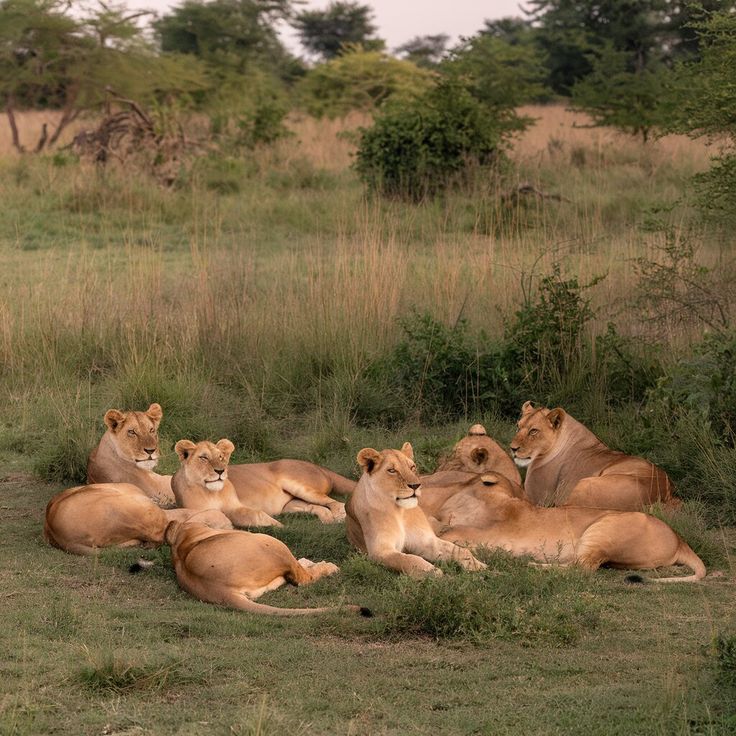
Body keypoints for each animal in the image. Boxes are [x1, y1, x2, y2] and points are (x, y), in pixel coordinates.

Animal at [345, 443, 486, 577]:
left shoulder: (425, 540)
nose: (415, 485)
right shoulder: (379, 551)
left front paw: (477, 565)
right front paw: (433, 572)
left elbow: (459, 550)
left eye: (412, 467)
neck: (400, 511)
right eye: (392, 470)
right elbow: (408, 559)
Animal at [437, 475, 706, 582]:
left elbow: (451, 534)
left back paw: (530, 565)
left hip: (604, 528)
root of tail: (680, 540)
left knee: (583, 568)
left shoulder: (493, 533)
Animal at [510, 401, 678, 510]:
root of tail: (665, 497)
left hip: (586, 484)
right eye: (518, 427)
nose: (513, 448)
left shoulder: (537, 496)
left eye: (533, 431)